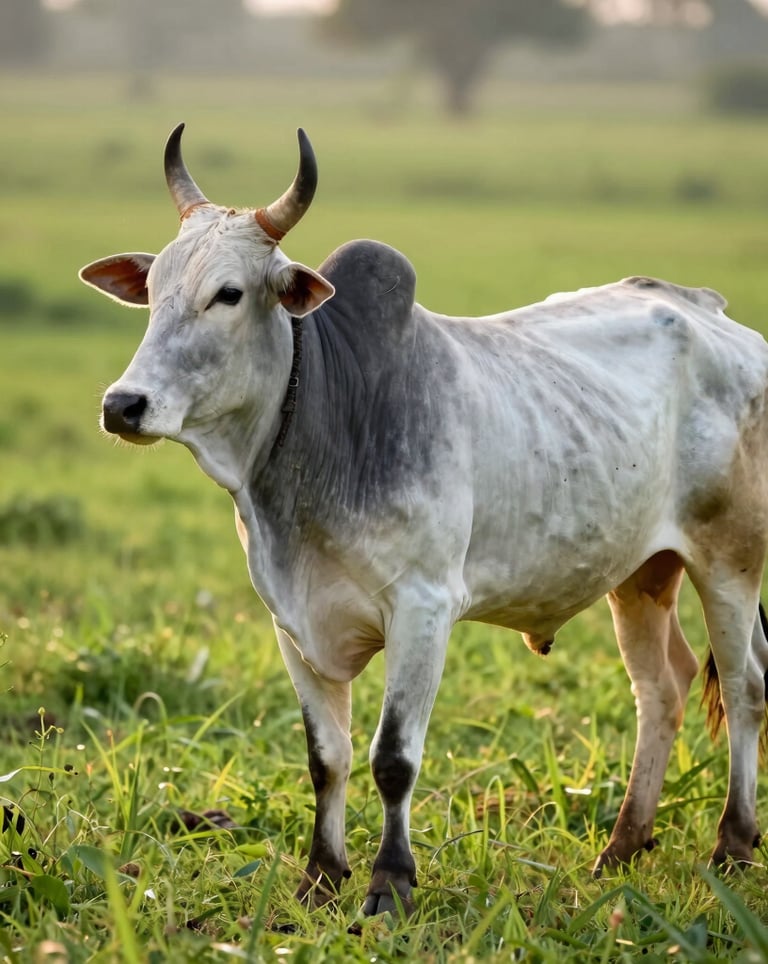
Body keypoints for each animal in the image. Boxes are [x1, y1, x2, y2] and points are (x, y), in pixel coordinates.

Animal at [80, 124, 768, 917]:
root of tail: (715, 313)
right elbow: (327, 757)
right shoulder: (292, 623)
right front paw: (321, 877)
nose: (123, 405)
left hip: (729, 560)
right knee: (663, 687)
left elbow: (392, 758)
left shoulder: (423, 608)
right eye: (153, 290)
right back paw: (622, 846)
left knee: (745, 684)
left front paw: (390, 882)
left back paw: (733, 845)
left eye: (228, 293)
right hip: (641, 573)